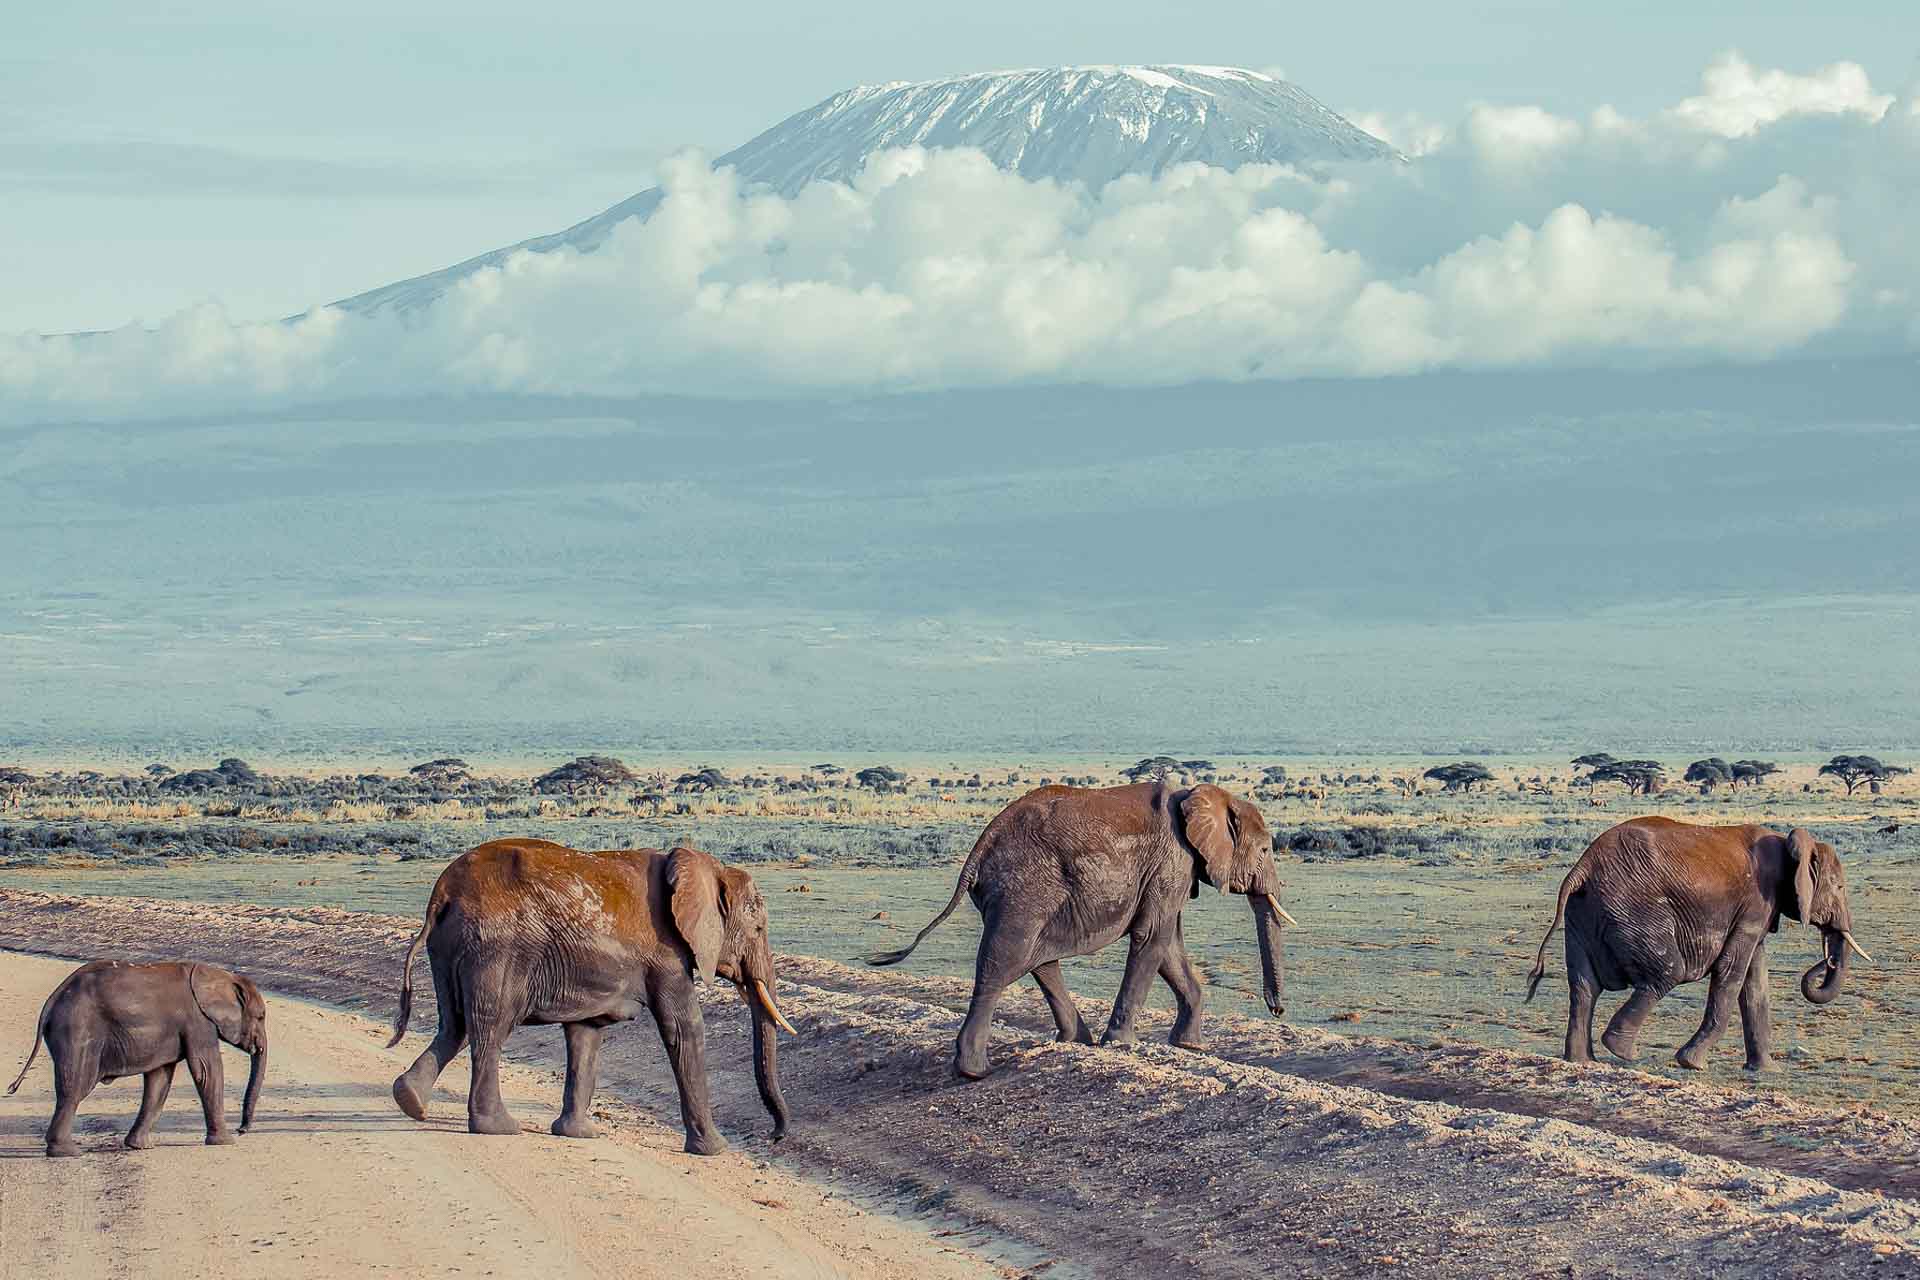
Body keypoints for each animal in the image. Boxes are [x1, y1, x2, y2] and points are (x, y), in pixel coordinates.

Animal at [7, 959, 267, 1158]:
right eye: (261, 1017)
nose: (241, 1130)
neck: (218, 975)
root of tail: (52, 1000)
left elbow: (160, 1079)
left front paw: (139, 1147)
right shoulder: (198, 1023)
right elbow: (206, 1070)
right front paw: (225, 1142)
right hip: (76, 1031)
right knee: (74, 1089)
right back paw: (67, 1152)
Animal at [387, 838, 795, 1154]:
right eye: (758, 928)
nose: (774, 1136)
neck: (699, 865)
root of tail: (442, 893)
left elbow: (586, 1034)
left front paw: (578, 1135)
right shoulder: (666, 955)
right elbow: (683, 1028)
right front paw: (714, 1150)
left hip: (450, 947)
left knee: (455, 1024)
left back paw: (411, 1102)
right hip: (494, 951)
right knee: (490, 1028)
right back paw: (498, 1127)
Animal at [870, 782, 1296, 1080]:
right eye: (1264, 851)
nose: (1277, 1010)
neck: (1198, 795)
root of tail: (978, 850)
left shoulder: (1173, 871)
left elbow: (1168, 945)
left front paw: (1190, 1048)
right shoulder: (1172, 861)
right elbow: (1152, 938)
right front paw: (1121, 1046)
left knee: (1039, 959)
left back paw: (1077, 1042)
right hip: (1024, 890)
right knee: (1002, 963)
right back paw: (974, 1071)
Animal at [1525, 817, 1870, 1071]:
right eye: (1839, 887)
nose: (1827, 960)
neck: (1788, 842)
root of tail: (1581, 868)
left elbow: (1755, 982)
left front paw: (1765, 1071)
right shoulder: (1755, 904)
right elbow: (1732, 974)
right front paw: (1692, 1064)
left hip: (1583, 914)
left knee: (1584, 988)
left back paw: (1583, 1061)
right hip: (1632, 909)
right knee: (1666, 973)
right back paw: (1623, 1052)